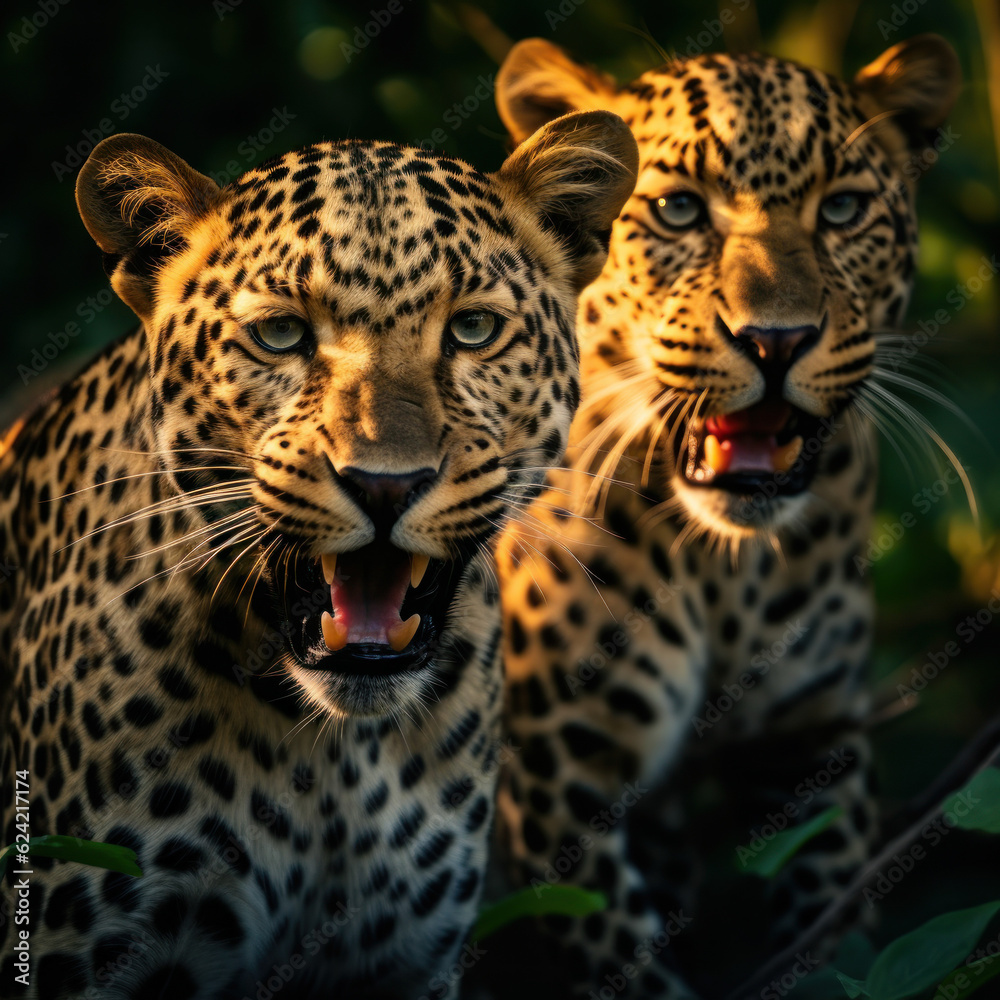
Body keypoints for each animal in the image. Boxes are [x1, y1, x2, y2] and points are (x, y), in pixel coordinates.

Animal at [487, 35, 961, 999]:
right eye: (677, 210)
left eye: (843, 209)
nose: (776, 340)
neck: (725, 572)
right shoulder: (554, 783)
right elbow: (622, 962)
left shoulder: (813, 744)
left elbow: (829, 930)